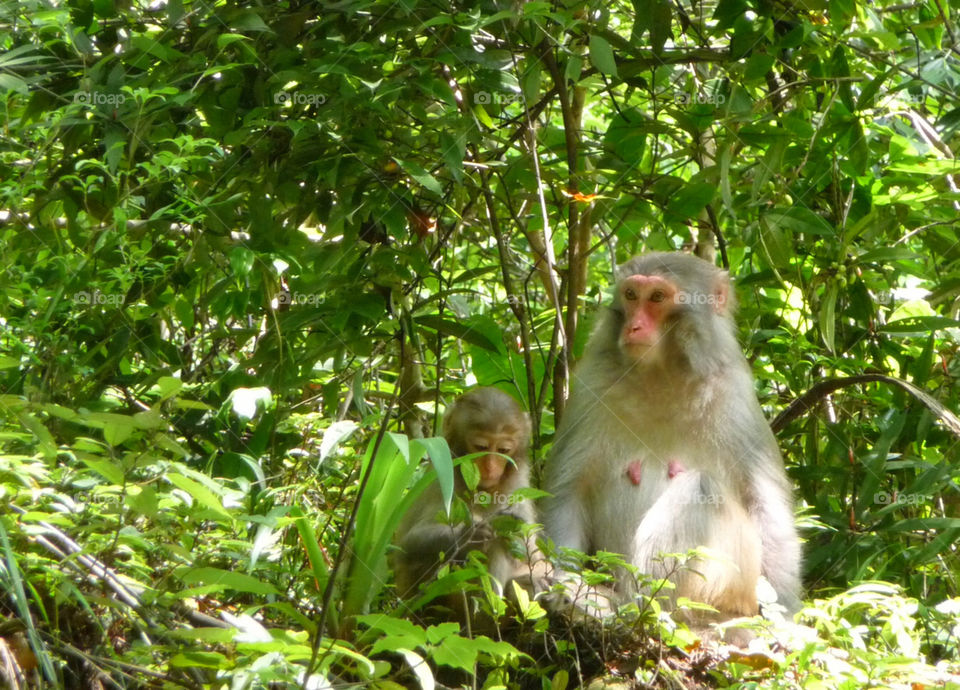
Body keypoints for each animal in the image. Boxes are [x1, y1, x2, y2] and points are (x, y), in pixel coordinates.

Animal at [393, 387, 544, 604]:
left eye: (503, 450)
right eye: (481, 447)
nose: (490, 467)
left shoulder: (520, 481)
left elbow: (530, 552)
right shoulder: (440, 478)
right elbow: (408, 544)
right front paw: (470, 535)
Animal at [541, 252, 801, 624]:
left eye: (657, 297)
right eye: (631, 295)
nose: (633, 326)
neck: (660, 374)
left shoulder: (734, 394)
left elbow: (765, 505)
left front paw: (786, 618)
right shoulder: (592, 384)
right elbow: (568, 490)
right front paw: (566, 583)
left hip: (735, 589)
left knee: (700, 488)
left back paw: (639, 609)